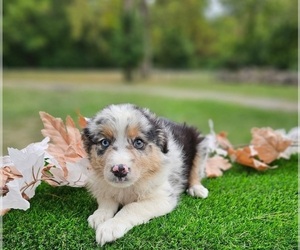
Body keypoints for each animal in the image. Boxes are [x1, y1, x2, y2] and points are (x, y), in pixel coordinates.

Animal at [82, 103, 209, 246]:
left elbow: (132, 207)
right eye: (104, 142)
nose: (119, 170)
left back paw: (197, 189)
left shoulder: (163, 197)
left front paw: (110, 227)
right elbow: (106, 201)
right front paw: (99, 216)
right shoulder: (103, 186)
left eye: (138, 142)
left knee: (196, 172)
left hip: (200, 144)